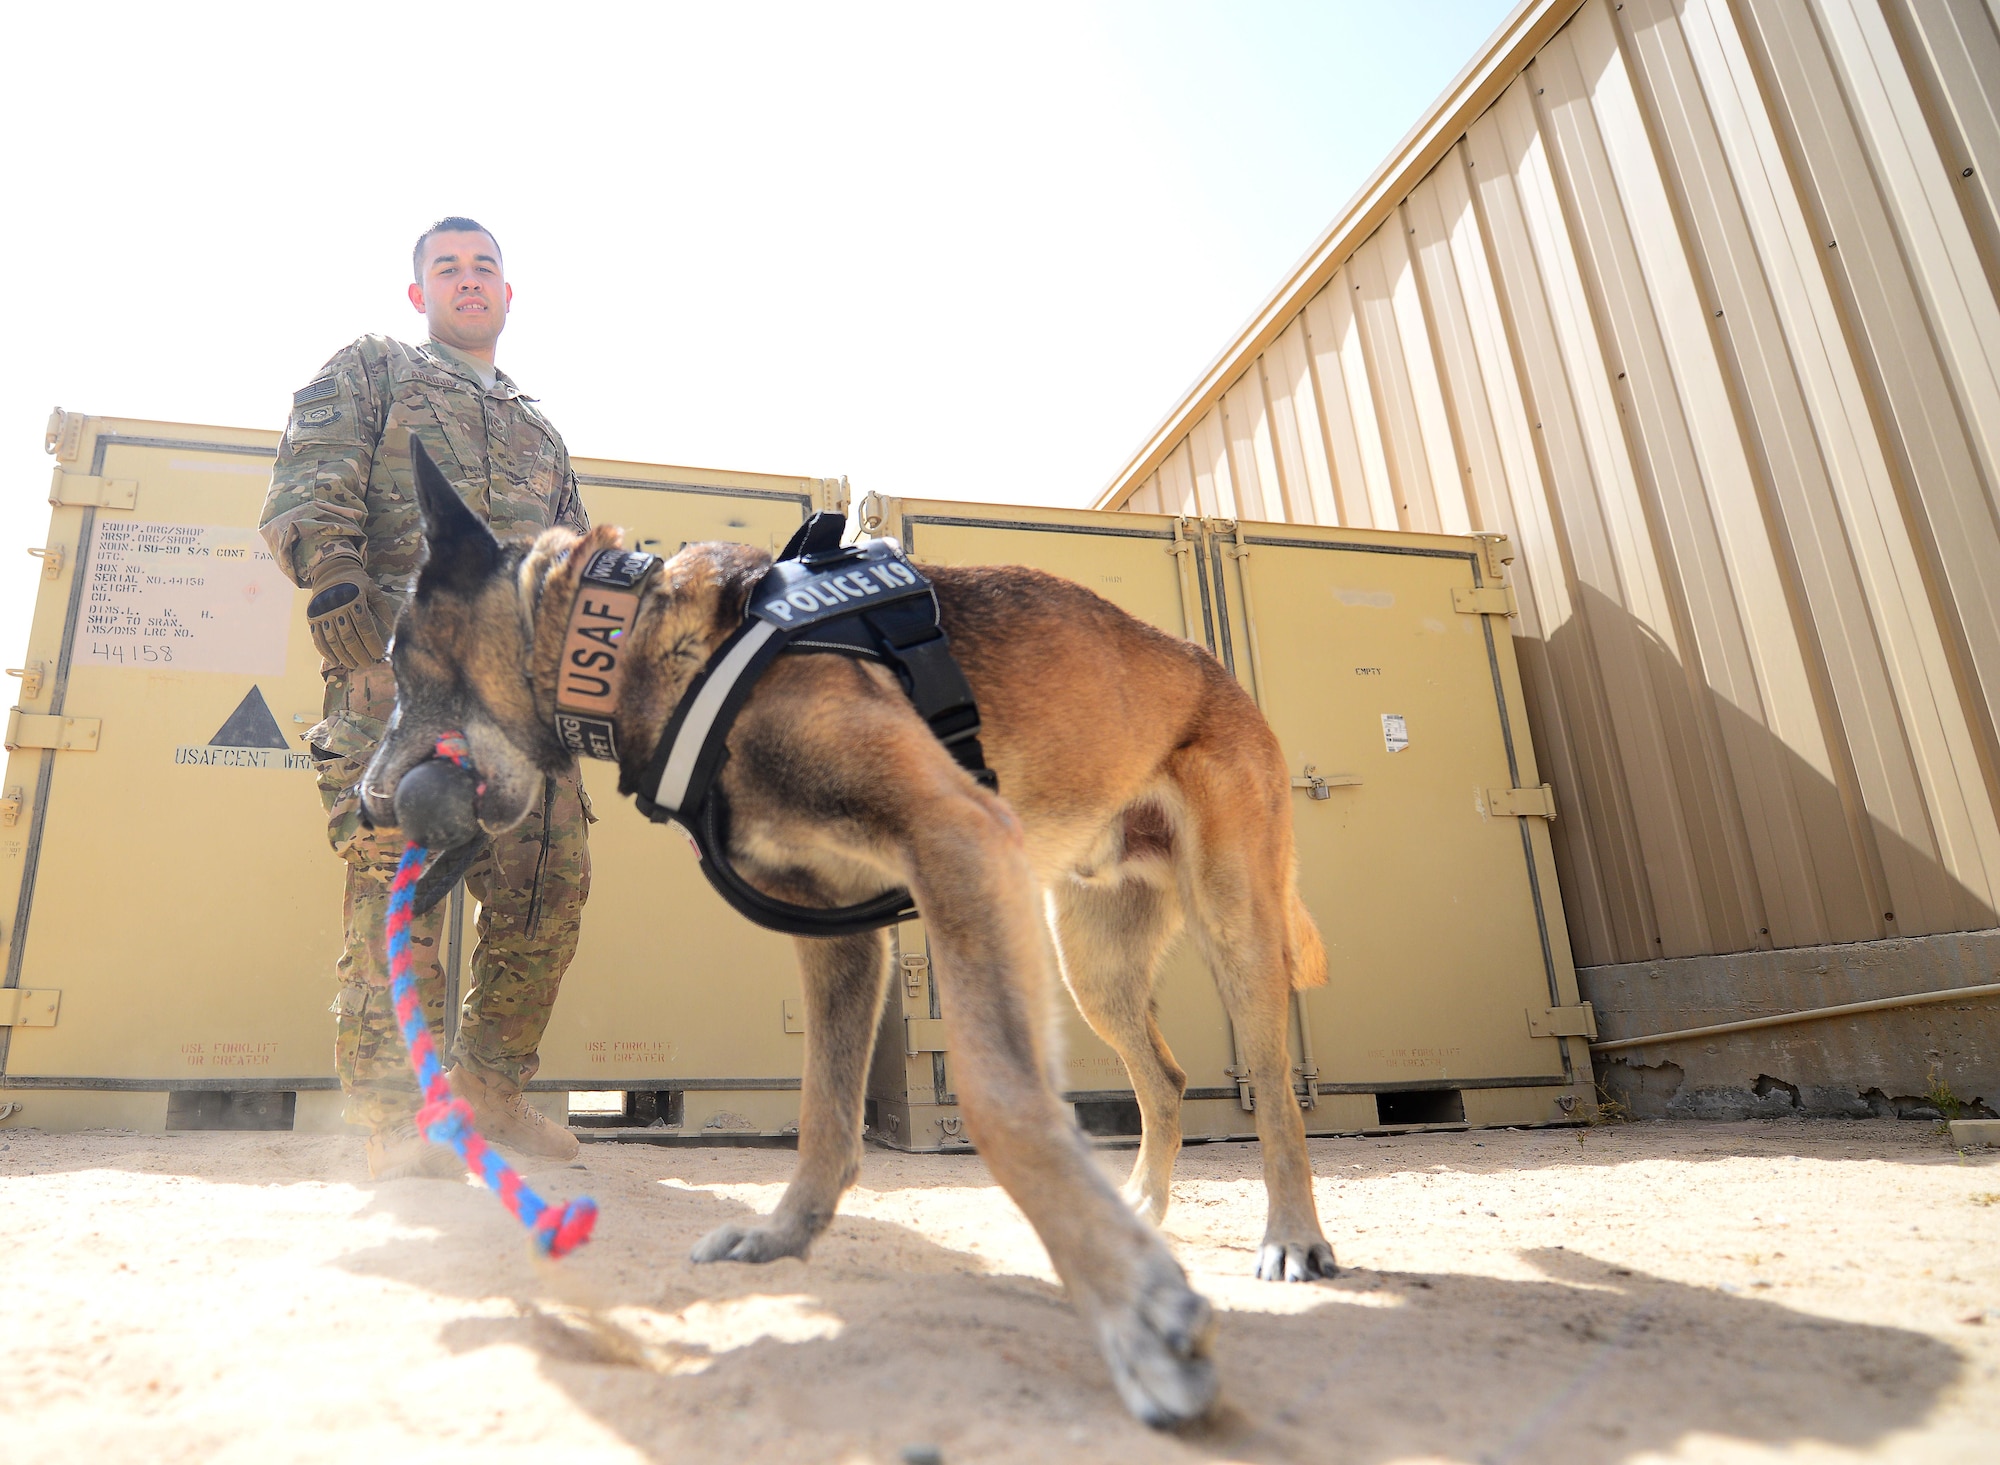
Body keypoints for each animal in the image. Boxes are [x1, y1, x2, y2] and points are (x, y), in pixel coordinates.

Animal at [368, 440, 1336, 1424]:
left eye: (399, 665)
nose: (369, 802)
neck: (644, 641)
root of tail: (1215, 670)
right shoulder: (841, 932)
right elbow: (826, 1109)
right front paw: (786, 1232)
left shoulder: (957, 842)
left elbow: (1003, 1104)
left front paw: (1134, 1316)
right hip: (1092, 962)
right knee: (1167, 1076)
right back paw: (1141, 1202)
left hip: (1233, 926)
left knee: (1273, 1088)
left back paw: (1292, 1238)